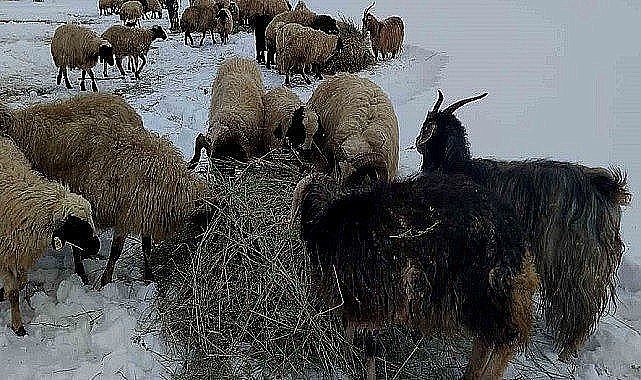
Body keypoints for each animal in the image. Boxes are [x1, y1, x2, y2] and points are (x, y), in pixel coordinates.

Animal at [0, 93, 205, 286]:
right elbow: (116, 252)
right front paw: (106, 280)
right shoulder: (130, 214)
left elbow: (145, 247)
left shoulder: (143, 213)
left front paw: (149, 276)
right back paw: (82, 273)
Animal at [0, 134, 99, 336]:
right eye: (77, 227)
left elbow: (22, 282)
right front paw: (18, 327)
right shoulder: (7, 254)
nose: (96, 246)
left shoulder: (22, 252)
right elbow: (13, 292)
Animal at [292, 173, 536, 380]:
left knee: (506, 336)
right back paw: (471, 373)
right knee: (488, 336)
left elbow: (368, 344)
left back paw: (487, 373)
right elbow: (354, 335)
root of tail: (514, 234)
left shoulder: (369, 298)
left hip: (486, 291)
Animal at [416, 90, 632, 360]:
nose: (417, 143)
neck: (459, 168)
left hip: (577, 262)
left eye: (426, 125)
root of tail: (608, 189)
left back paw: (567, 351)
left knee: (581, 305)